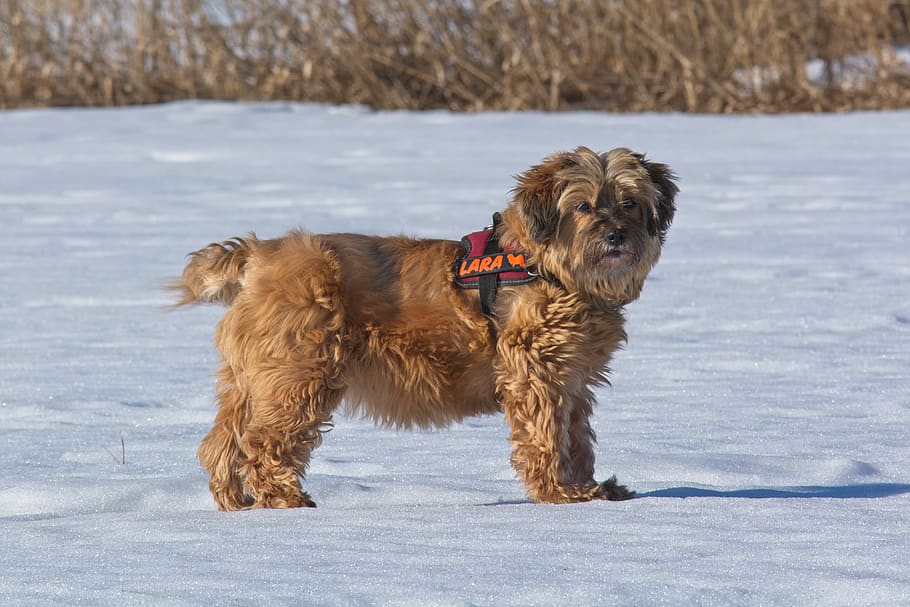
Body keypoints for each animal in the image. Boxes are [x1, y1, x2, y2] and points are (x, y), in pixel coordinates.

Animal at [173, 147, 676, 508]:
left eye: (630, 202)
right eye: (584, 206)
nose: (616, 235)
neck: (549, 269)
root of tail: (258, 256)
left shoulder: (573, 379)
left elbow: (577, 436)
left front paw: (593, 487)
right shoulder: (536, 372)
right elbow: (546, 435)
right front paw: (561, 492)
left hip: (251, 378)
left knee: (221, 441)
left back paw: (234, 500)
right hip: (301, 372)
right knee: (262, 441)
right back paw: (284, 497)